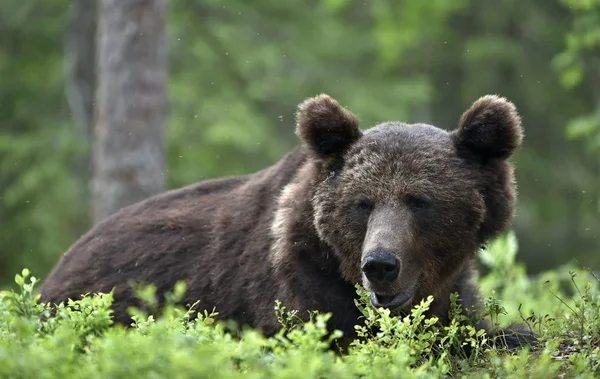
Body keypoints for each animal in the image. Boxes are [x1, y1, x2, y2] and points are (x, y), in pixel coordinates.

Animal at [38, 92, 536, 350]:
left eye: (419, 201)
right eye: (362, 203)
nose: (379, 265)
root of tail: (55, 268)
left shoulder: (453, 288)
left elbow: (472, 325)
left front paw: (517, 334)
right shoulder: (292, 285)